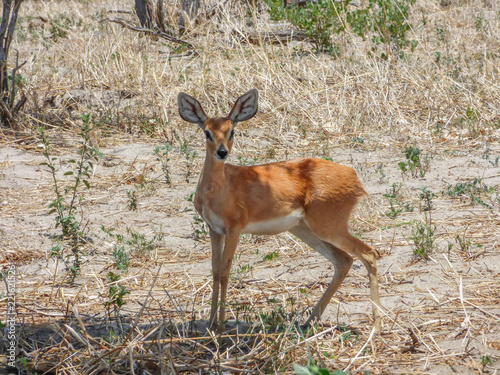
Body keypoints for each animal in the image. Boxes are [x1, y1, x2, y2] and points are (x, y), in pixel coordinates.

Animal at [178, 89, 380, 334]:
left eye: (232, 130)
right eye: (207, 131)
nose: (222, 152)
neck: (220, 188)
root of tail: (354, 176)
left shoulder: (234, 229)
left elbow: (225, 272)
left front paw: (222, 326)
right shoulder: (214, 230)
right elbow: (215, 272)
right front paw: (210, 325)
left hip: (328, 228)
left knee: (369, 253)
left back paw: (377, 327)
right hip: (304, 230)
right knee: (344, 260)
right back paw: (307, 322)